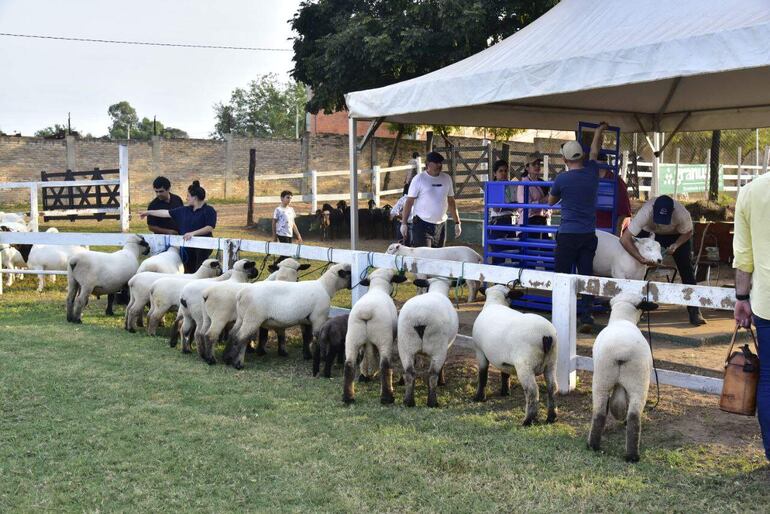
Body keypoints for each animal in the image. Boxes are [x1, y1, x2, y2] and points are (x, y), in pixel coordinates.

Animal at [224, 264, 352, 368]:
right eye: (349, 273)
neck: (326, 287)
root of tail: (241, 294)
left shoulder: (306, 320)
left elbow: (307, 337)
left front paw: (307, 355)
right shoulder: (318, 317)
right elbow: (317, 337)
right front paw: (320, 358)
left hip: (242, 317)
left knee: (232, 334)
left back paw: (228, 358)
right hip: (252, 318)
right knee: (241, 338)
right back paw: (238, 364)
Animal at [340, 266, 404, 402]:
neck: (378, 288)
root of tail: (366, 312)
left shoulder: (366, 342)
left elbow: (367, 357)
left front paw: (366, 375)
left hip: (352, 338)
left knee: (349, 365)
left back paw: (348, 397)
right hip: (384, 338)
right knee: (385, 365)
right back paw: (387, 397)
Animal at [396, 278, 456, 406]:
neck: (437, 290)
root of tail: (420, 318)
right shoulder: (445, 347)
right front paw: (442, 382)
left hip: (405, 345)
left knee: (409, 372)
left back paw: (408, 401)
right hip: (437, 347)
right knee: (432, 374)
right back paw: (432, 402)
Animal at [472, 284, 556, 424]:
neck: (495, 302)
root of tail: (546, 335)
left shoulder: (480, 351)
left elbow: (483, 375)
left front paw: (479, 397)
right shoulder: (504, 359)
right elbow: (505, 374)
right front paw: (505, 392)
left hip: (525, 365)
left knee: (532, 391)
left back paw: (528, 421)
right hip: (551, 363)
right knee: (552, 387)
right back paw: (551, 417)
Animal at [588, 290, 656, 462]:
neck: (622, 319)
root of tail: (621, 352)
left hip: (604, 379)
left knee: (601, 413)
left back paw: (595, 446)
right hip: (638, 382)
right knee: (633, 417)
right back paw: (631, 455)